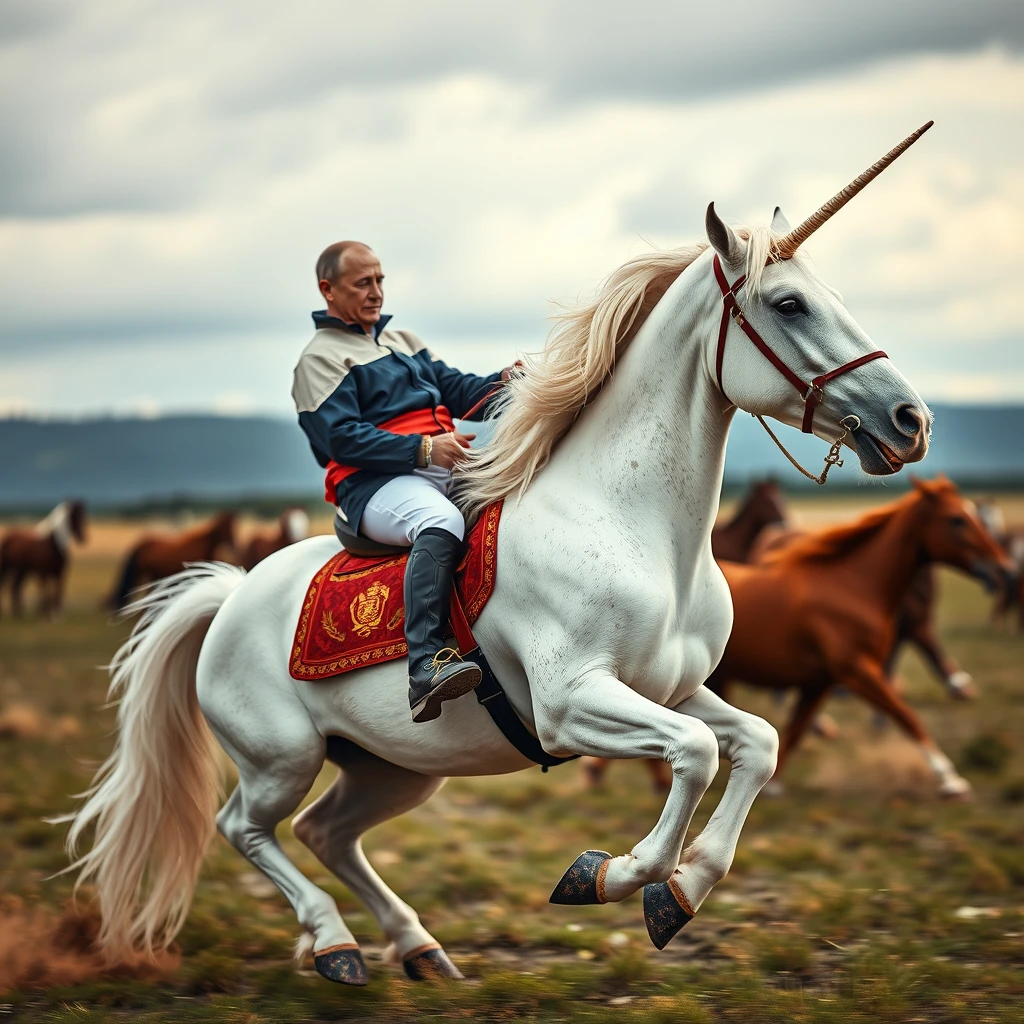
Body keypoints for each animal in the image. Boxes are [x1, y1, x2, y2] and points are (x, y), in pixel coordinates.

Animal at [66, 128, 937, 983]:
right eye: (788, 303)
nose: (910, 419)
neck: (635, 531)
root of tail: (231, 597)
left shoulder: (674, 689)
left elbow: (756, 744)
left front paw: (680, 892)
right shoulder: (572, 702)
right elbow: (692, 755)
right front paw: (610, 875)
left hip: (393, 770)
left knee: (325, 833)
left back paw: (416, 946)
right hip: (281, 760)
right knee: (244, 827)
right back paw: (335, 942)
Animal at [708, 479, 1011, 798]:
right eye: (957, 519)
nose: (1005, 568)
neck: (851, 589)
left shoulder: (819, 683)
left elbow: (796, 730)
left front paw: (773, 786)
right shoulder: (857, 671)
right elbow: (906, 716)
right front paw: (951, 781)